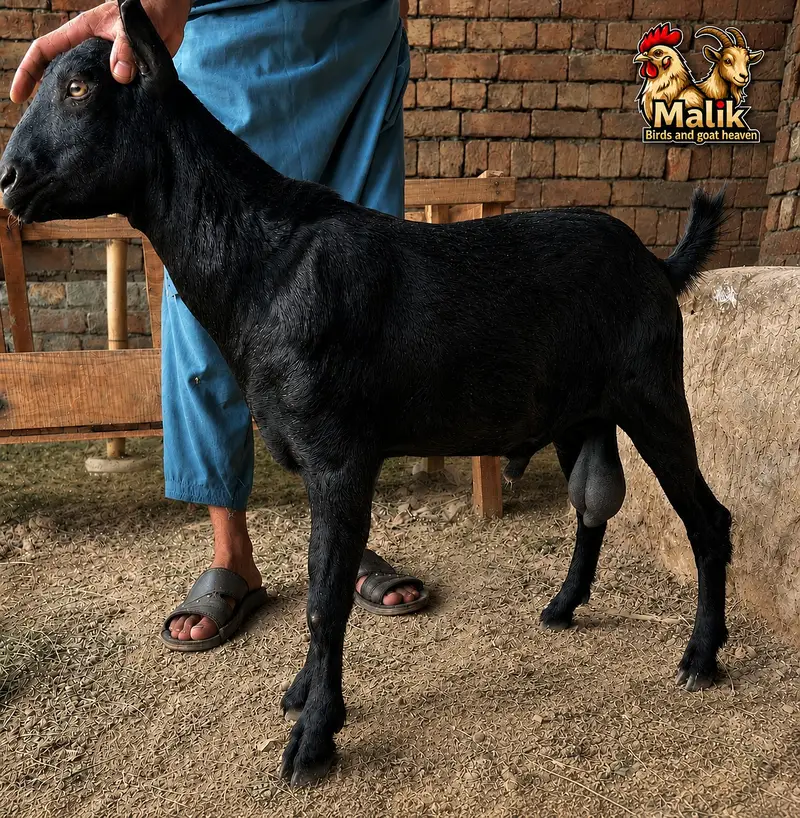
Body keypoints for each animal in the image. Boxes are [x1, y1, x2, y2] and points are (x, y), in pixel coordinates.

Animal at [0, 0, 732, 788]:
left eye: (80, 88)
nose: (7, 179)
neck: (269, 264)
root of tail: (659, 264)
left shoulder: (339, 458)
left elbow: (326, 603)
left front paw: (314, 736)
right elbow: (319, 592)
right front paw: (303, 694)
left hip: (654, 395)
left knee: (708, 520)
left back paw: (699, 656)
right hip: (580, 414)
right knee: (591, 510)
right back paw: (563, 606)